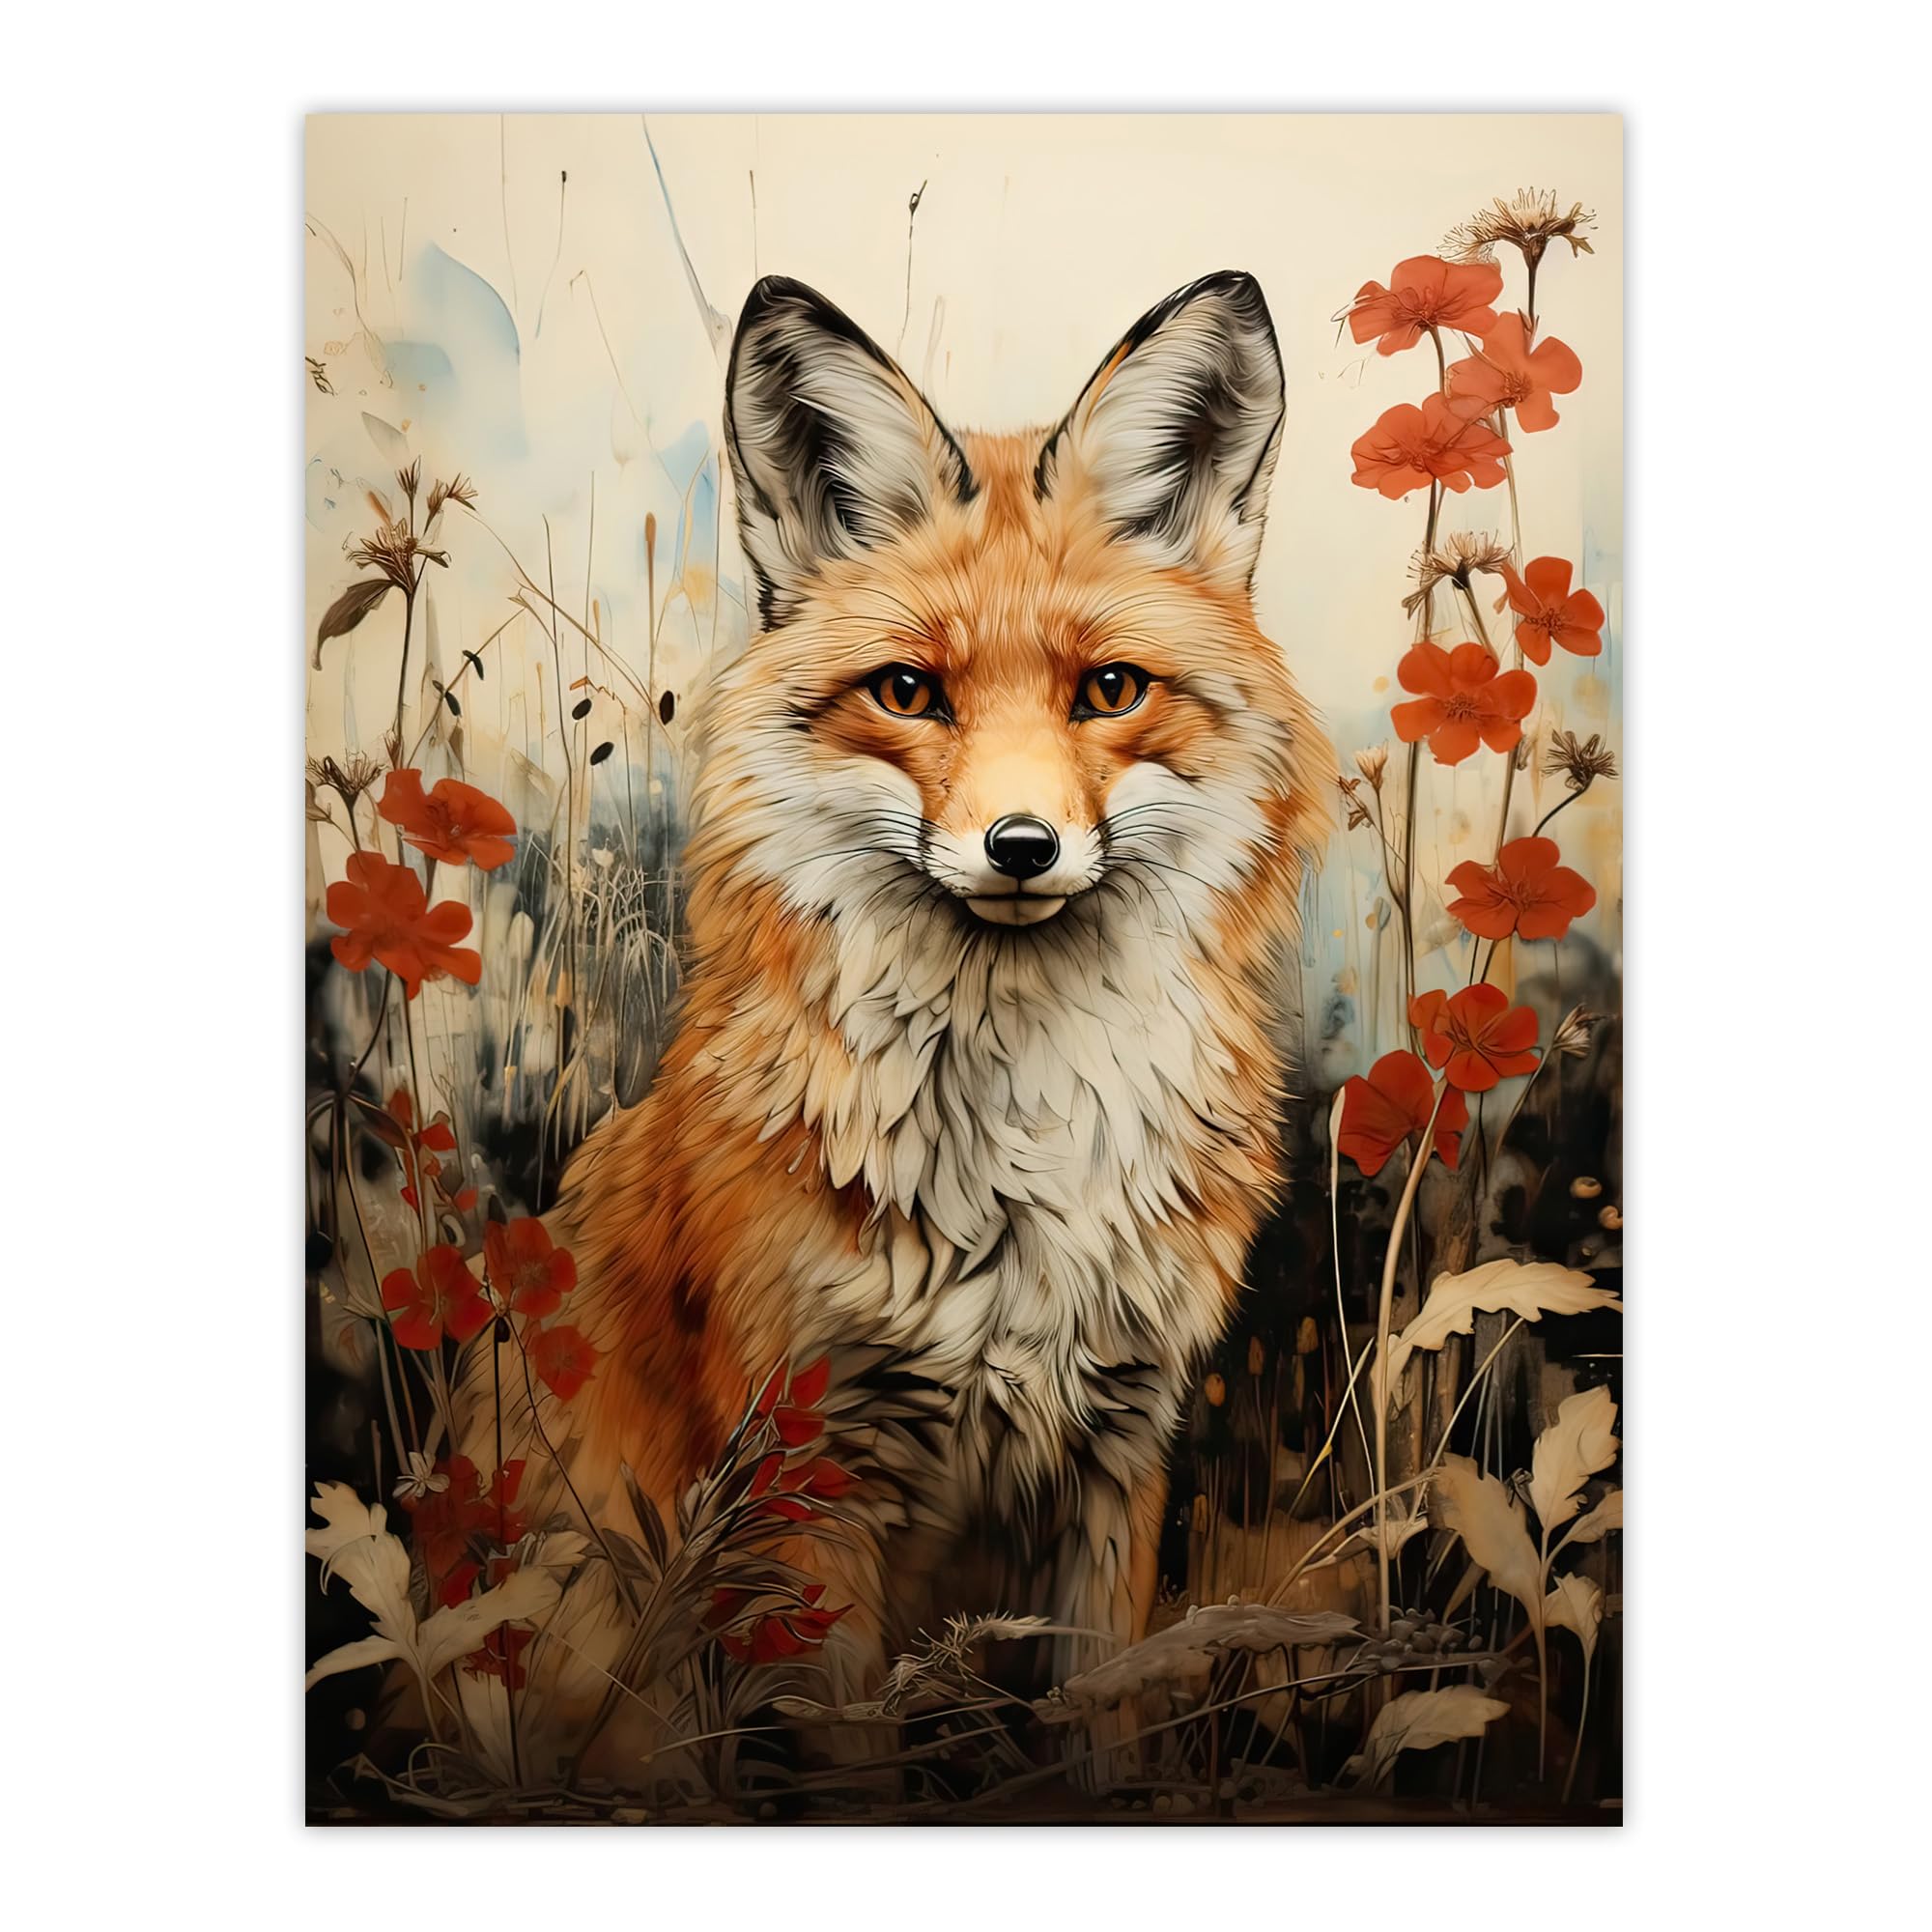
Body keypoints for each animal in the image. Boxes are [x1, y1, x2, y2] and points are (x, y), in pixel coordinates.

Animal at [444, 269, 1336, 1776]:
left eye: (1109, 690)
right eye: (909, 692)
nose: (1022, 847)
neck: (1026, 1158)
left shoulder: (1121, 1448)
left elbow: (1106, 1731)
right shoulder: (809, 1470)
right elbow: (853, 1754)